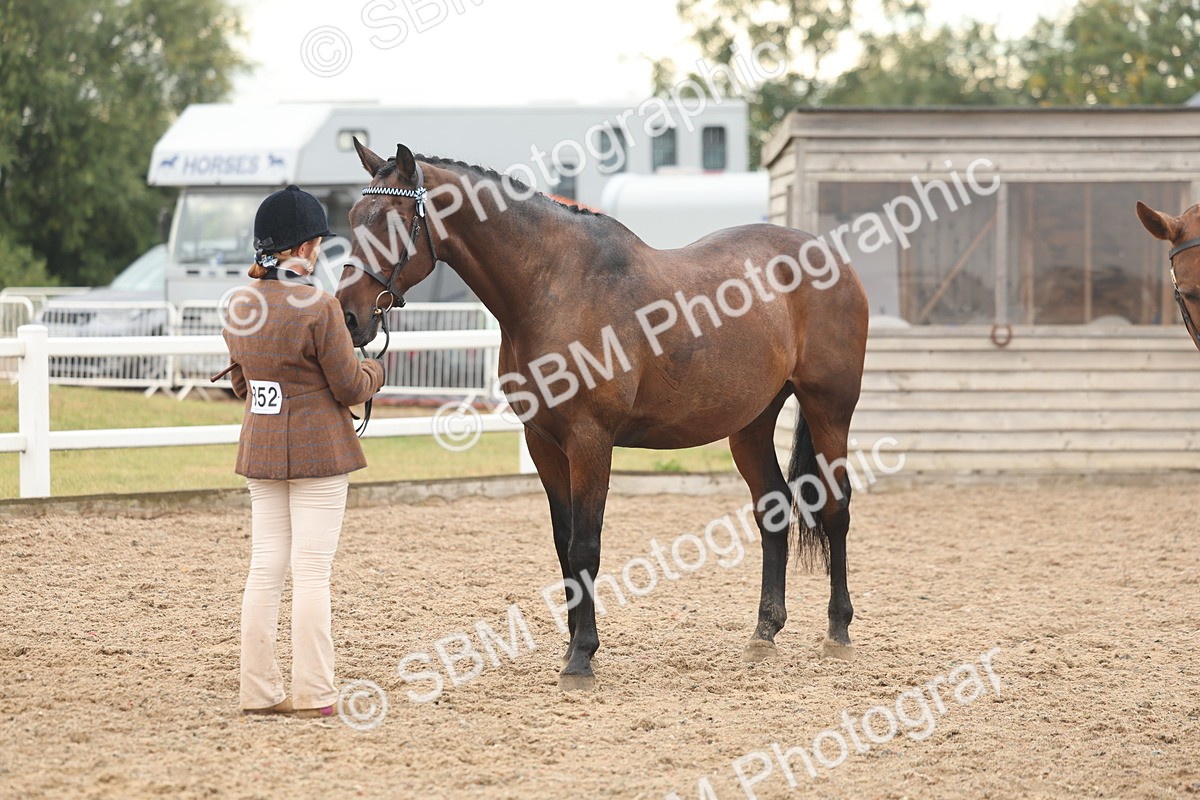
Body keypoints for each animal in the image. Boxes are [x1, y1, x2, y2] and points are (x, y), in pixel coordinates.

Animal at [335, 140, 870, 690]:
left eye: (394, 222)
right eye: (354, 219)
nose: (349, 316)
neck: (555, 286)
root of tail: (829, 257)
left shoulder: (590, 440)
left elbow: (585, 545)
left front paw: (582, 656)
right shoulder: (543, 443)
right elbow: (563, 542)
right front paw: (572, 643)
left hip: (829, 410)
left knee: (837, 506)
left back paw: (838, 631)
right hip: (751, 424)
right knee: (773, 509)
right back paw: (765, 633)